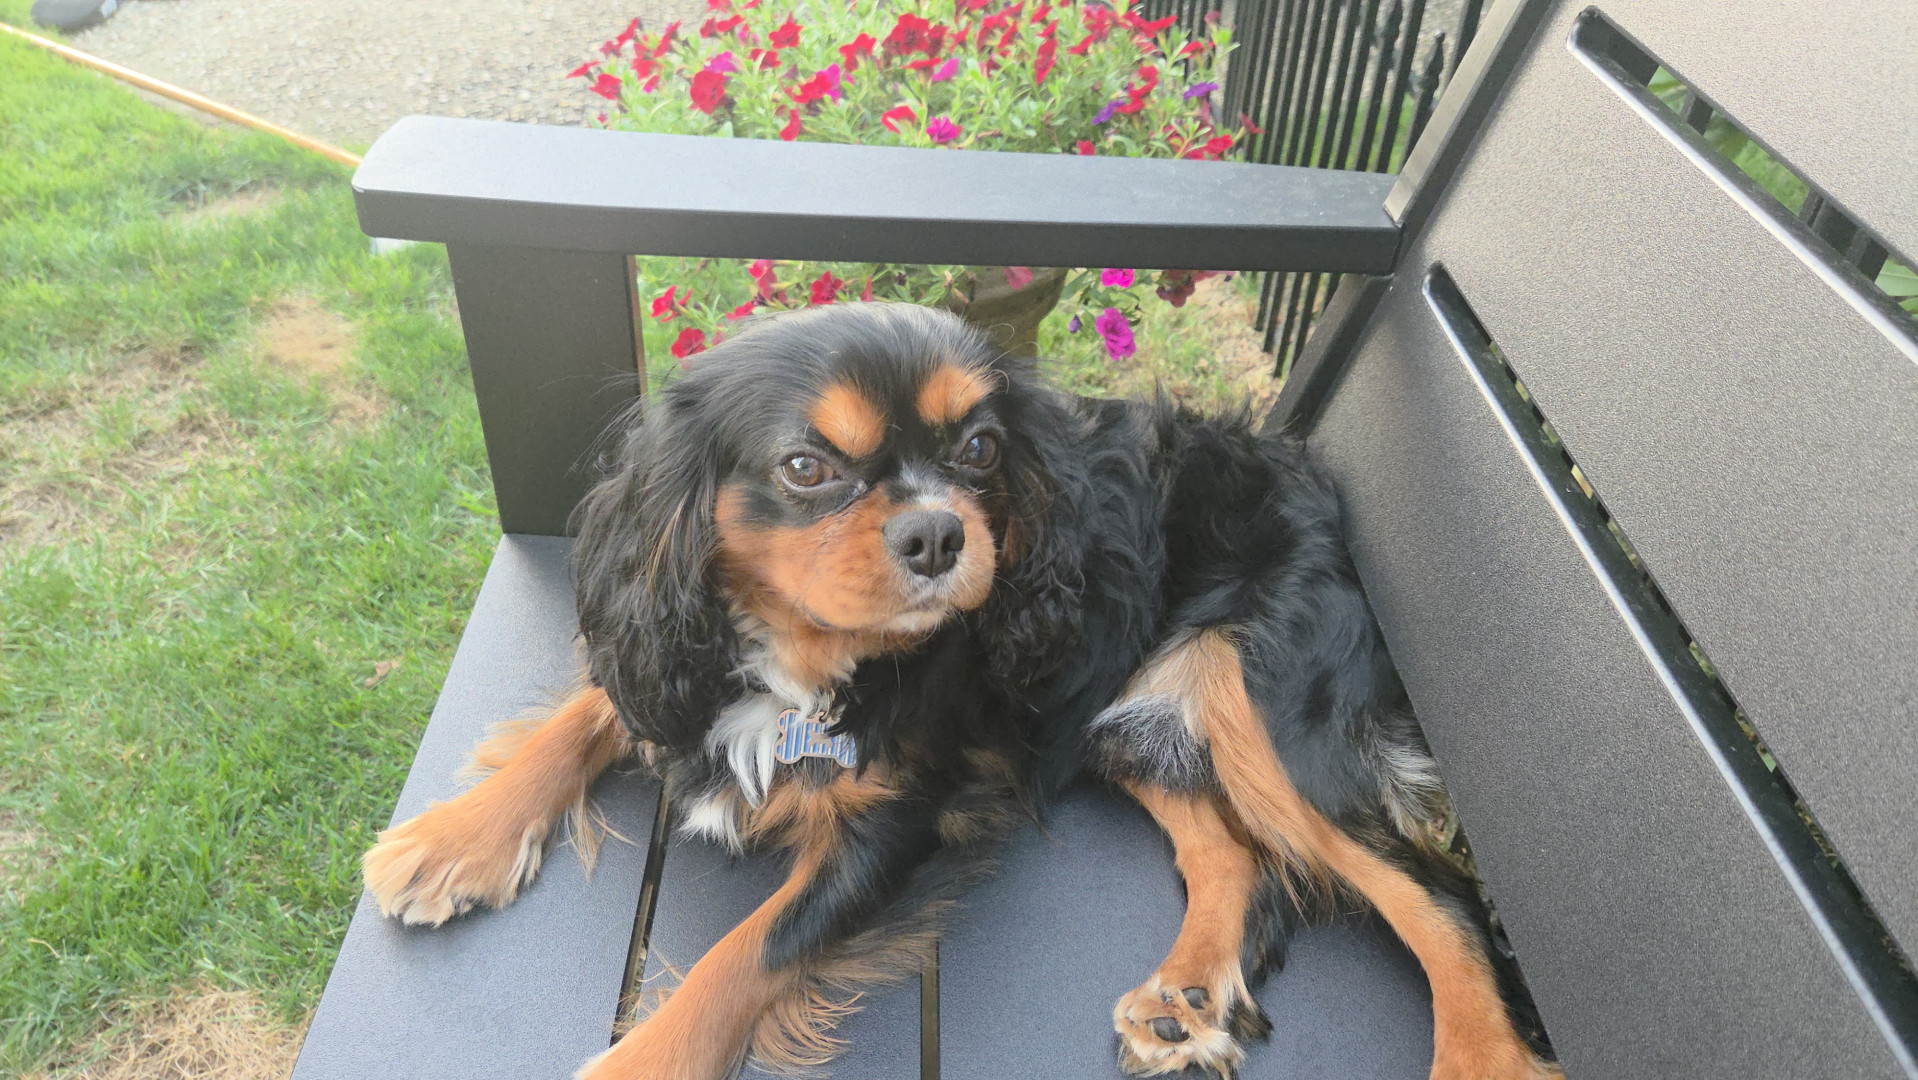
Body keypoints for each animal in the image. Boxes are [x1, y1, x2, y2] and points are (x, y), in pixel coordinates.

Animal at [362, 302, 1557, 1080]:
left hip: (1256, 698)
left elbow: (743, 960)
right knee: (1234, 852)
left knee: (1436, 896)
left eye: (982, 448)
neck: (808, 660)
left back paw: (1479, 1060)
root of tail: (1319, 484)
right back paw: (1184, 1000)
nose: (939, 533)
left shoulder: (900, 829)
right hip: (1122, 717)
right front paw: (454, 838)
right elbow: (588, 711)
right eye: (806, 468)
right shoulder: (674, 653)